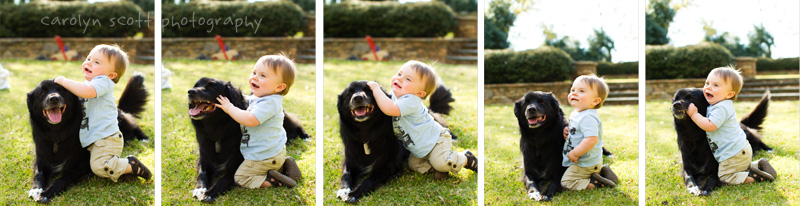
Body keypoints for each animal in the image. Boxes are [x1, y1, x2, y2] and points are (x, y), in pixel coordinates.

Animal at [27, 74, 150, 203]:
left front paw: (47, 192)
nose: (54, 99)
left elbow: (64, 178)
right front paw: (36, 189)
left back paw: (143, 139)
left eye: (62, 90)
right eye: (42, 92)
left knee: (133, 125)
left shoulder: (83, 163)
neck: (57, 132)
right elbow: (38, 173)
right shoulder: (41, 157)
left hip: (120, 120)